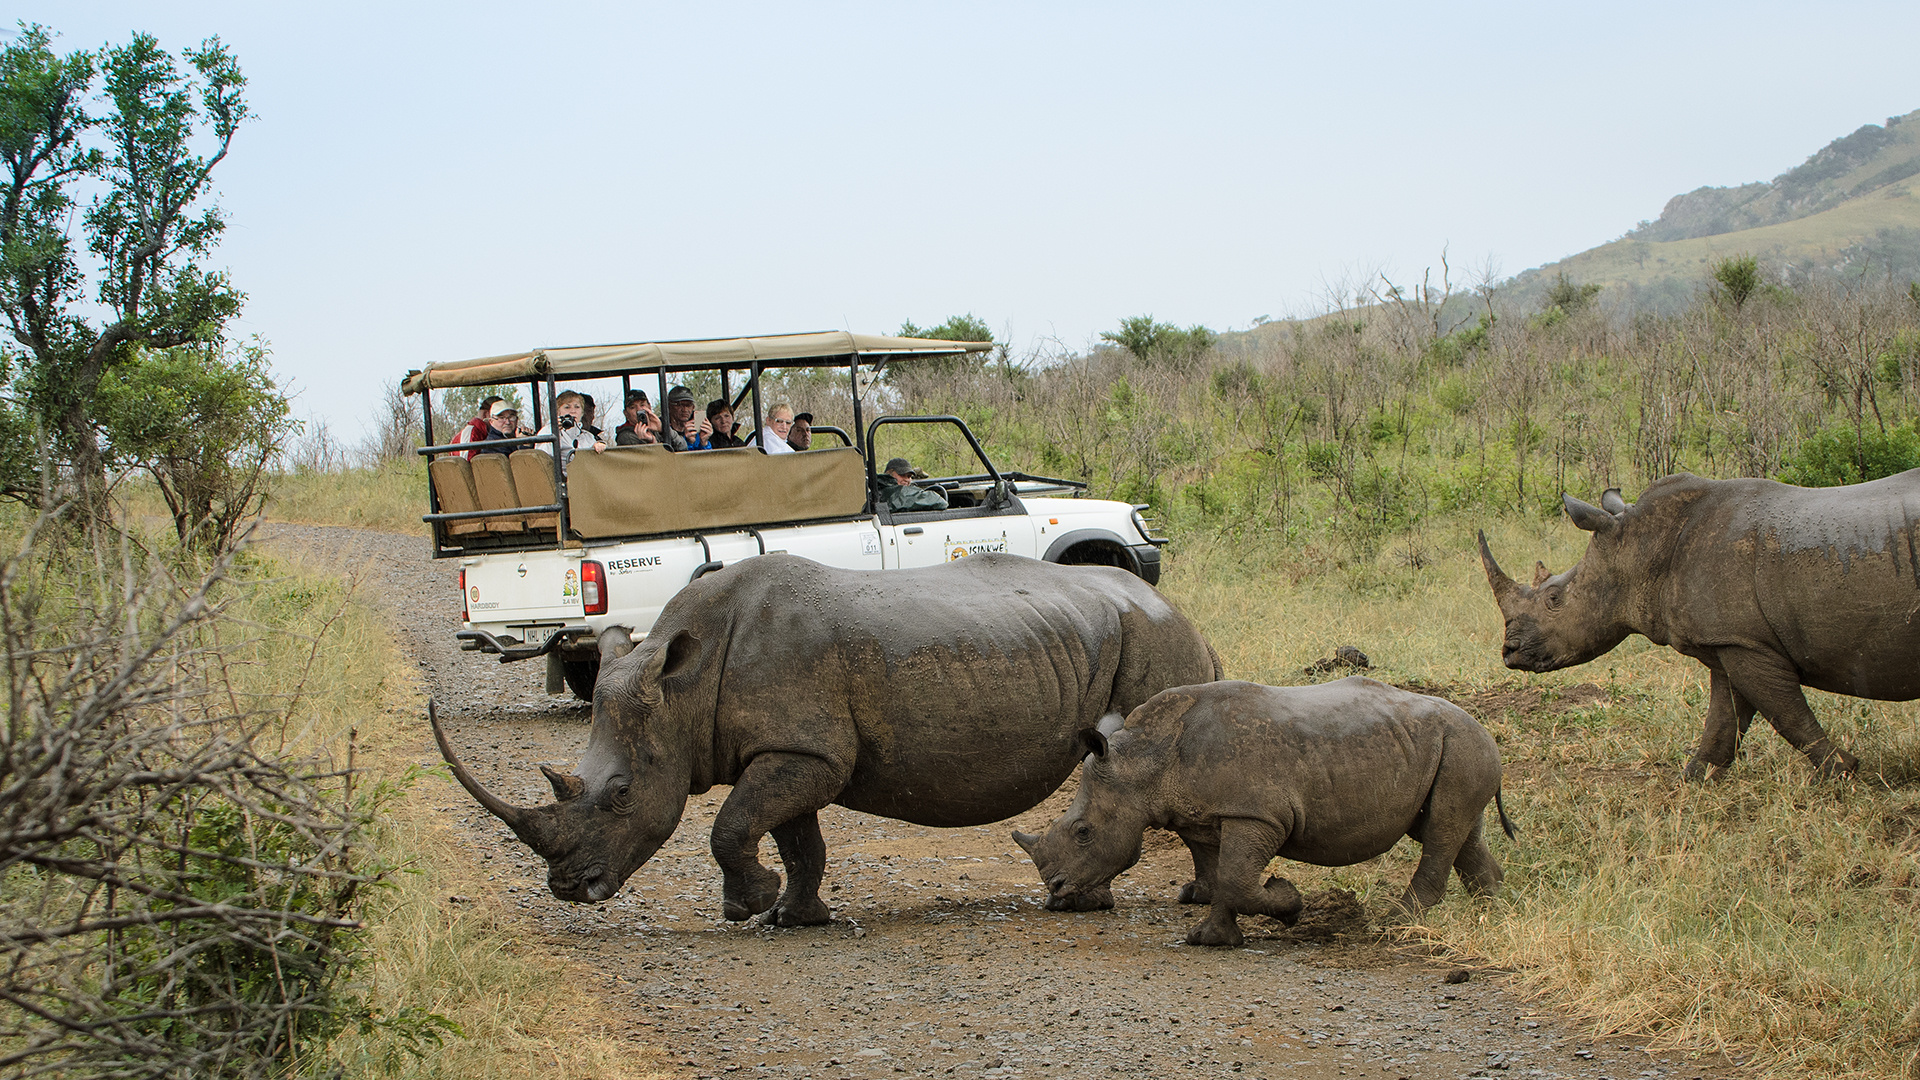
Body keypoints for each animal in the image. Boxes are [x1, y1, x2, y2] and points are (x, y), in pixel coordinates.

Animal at [1013, 676, 1505, 945]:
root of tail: (1485, 729)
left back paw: (1394, 922)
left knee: (1442, 831)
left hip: (1461, 744)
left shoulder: (1255, 813)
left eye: (1083, 832)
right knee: (1454, 829)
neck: (1146, 762)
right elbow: (1221, 877)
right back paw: (1494, 914)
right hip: (1448, 746)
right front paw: (1210, 940)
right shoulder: (1214, 815)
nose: (1055, 889)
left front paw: (1289, 902)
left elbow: (1235, 878)